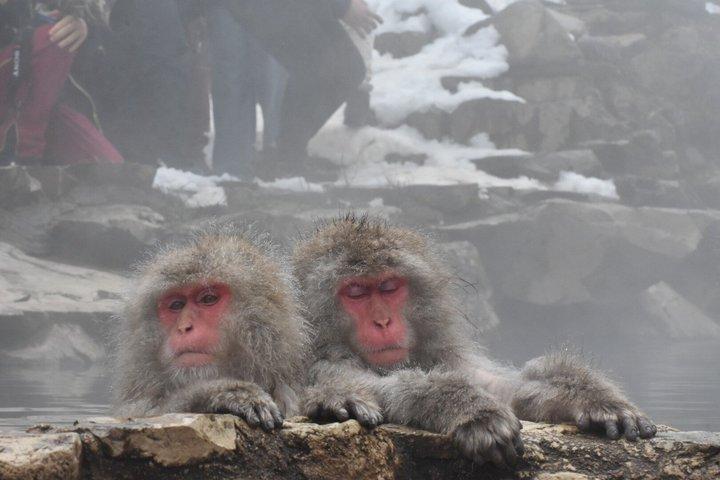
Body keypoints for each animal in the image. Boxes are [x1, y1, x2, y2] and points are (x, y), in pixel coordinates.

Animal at [293, 214, 656, 468]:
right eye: (355, 292)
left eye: (388, 287)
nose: (383, 321)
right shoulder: (320, 362)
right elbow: (374, 386)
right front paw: (474, 412)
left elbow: (509, 388)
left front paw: (596, 401)